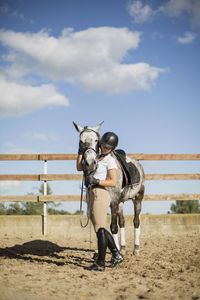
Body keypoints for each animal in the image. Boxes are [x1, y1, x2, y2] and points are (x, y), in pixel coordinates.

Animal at [72, 120, 145, 254]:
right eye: (81, 141)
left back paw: (136, 248)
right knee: (122, 222)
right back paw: (123, 247)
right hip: (121, 202)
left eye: (97, 140)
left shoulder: (113, 202)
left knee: (136, 221)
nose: (90, 163)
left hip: (138, 198)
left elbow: (113, 227)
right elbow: (98, 225)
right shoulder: (94, 204)